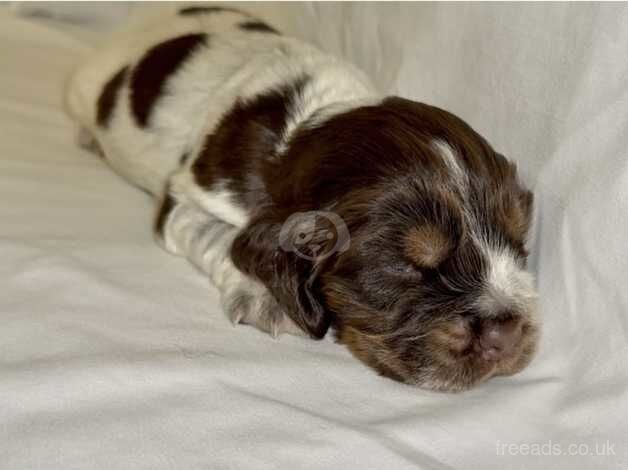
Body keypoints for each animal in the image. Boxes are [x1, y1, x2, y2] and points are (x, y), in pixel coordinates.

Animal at [67, 5, 540, 392]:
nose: (507, 333)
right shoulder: (184, 197)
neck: (306, 127)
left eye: (518, 240)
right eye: (407, 266)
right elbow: (220, 236)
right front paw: (265, 297)